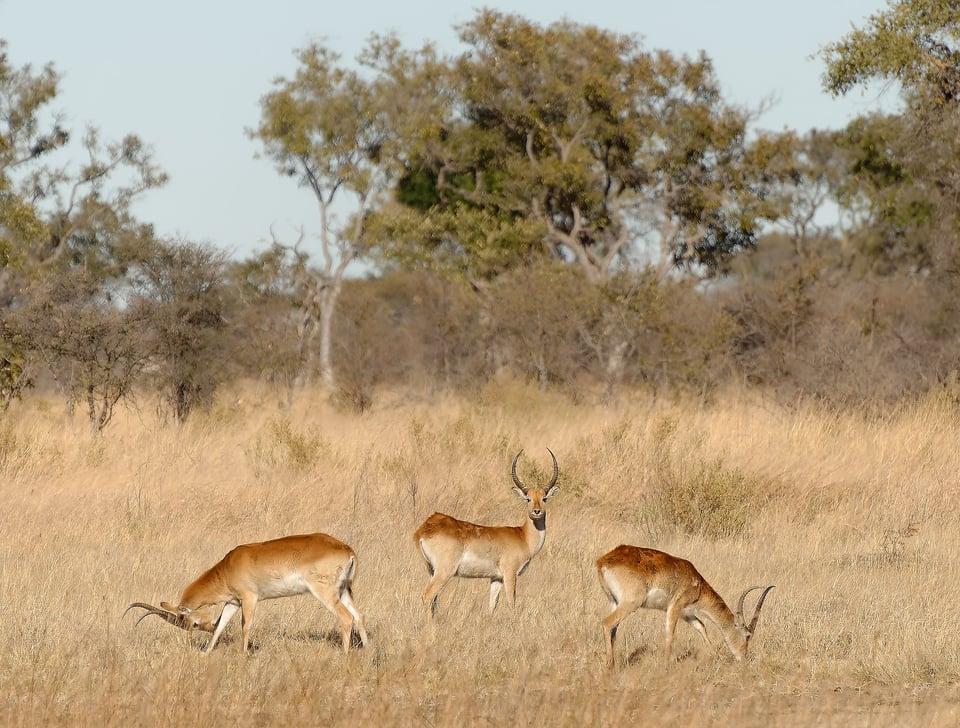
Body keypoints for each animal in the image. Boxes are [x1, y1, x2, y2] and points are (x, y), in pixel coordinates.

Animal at [123, 532, 368, 656]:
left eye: (192, 623)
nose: (204, 628)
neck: (227, 567)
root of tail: (347, 549)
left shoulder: (249, 598)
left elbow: (245, 625)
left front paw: (243, 655)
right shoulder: (233, 602)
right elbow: (221, 626)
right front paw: (206, 652)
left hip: (324, 593)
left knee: (346, 617)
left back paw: (345, 655)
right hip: (344, 590)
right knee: (358, 615)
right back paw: (367, 651)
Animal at [410, 446, 560, 616]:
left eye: (544, 498)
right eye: (528, 499)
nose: (536, 511)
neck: (523, 537)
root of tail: (424, 529)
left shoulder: (496, 578)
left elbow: (492, 605)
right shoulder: (510, 574)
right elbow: (512, 603)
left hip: (432, 571)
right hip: (444, 572)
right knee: (427, 596)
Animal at [596, 544, 776, 664]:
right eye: (747, 636)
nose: (743, 657)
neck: (697, 584)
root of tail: (603, 561)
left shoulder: (686, 613)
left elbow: (701, 626)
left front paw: (714, 655)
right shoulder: (674, 607)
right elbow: (670, 634)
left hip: (614, 602)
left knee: (613, 631)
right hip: (630, 603)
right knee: (606, 623)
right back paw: (610, 666)